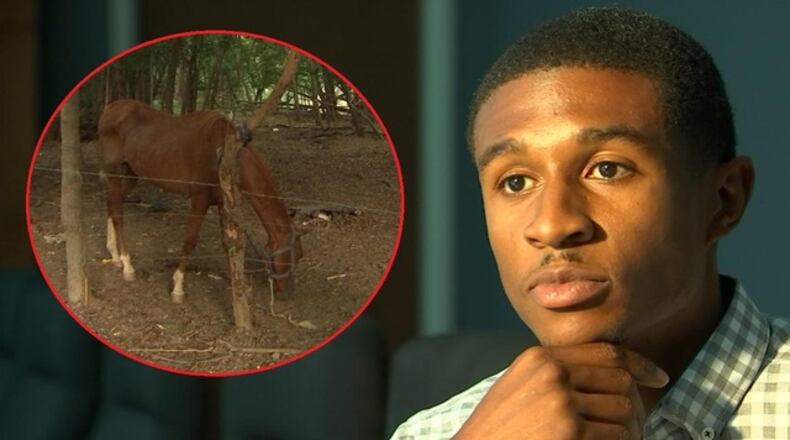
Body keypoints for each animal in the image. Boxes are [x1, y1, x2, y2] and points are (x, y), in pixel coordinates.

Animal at [97, 99, 303, 303]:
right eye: (296, 256)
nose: (288, 292)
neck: (225, 154)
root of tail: (110, 108)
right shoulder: (200, 199)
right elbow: (190, 240)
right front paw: (178, 287)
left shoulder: (222, 203)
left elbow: (227, 243)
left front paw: (240, 286)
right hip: (114, 170)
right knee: (118, 214)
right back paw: (127, 265)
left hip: (132, 172)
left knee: (112, 203)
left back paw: (115, 255)